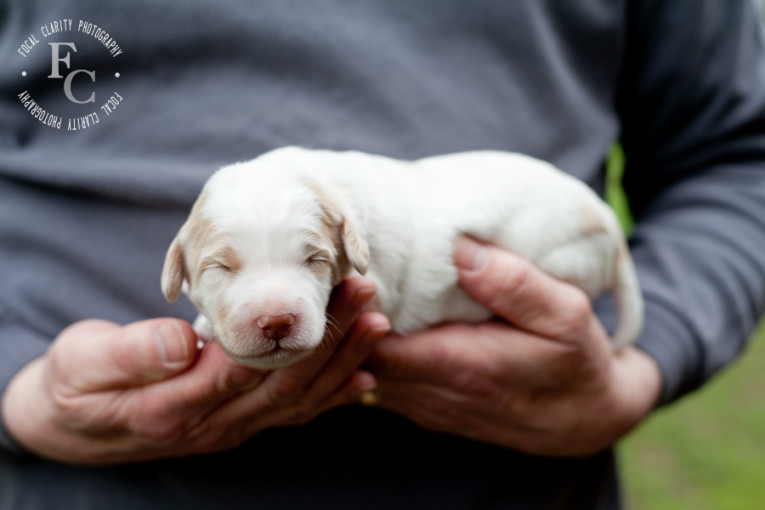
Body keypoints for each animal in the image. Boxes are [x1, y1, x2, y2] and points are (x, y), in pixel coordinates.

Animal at [163, 145, 644, 368]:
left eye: (314, 261)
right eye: (220, 268)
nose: (277, 321)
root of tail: (607, 216)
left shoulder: (377, 284)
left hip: (566, 258)